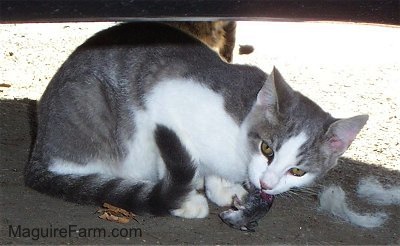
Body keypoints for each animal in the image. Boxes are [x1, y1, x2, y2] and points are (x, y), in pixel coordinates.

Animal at [25, 22, 368, 219]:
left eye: (297, 171)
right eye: (267, 149)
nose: (267, 185)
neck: (237, 136)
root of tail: (39, 147)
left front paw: (222, 189)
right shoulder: (162, 105)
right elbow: (177, 161)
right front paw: (186, 201)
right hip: (89, 105)